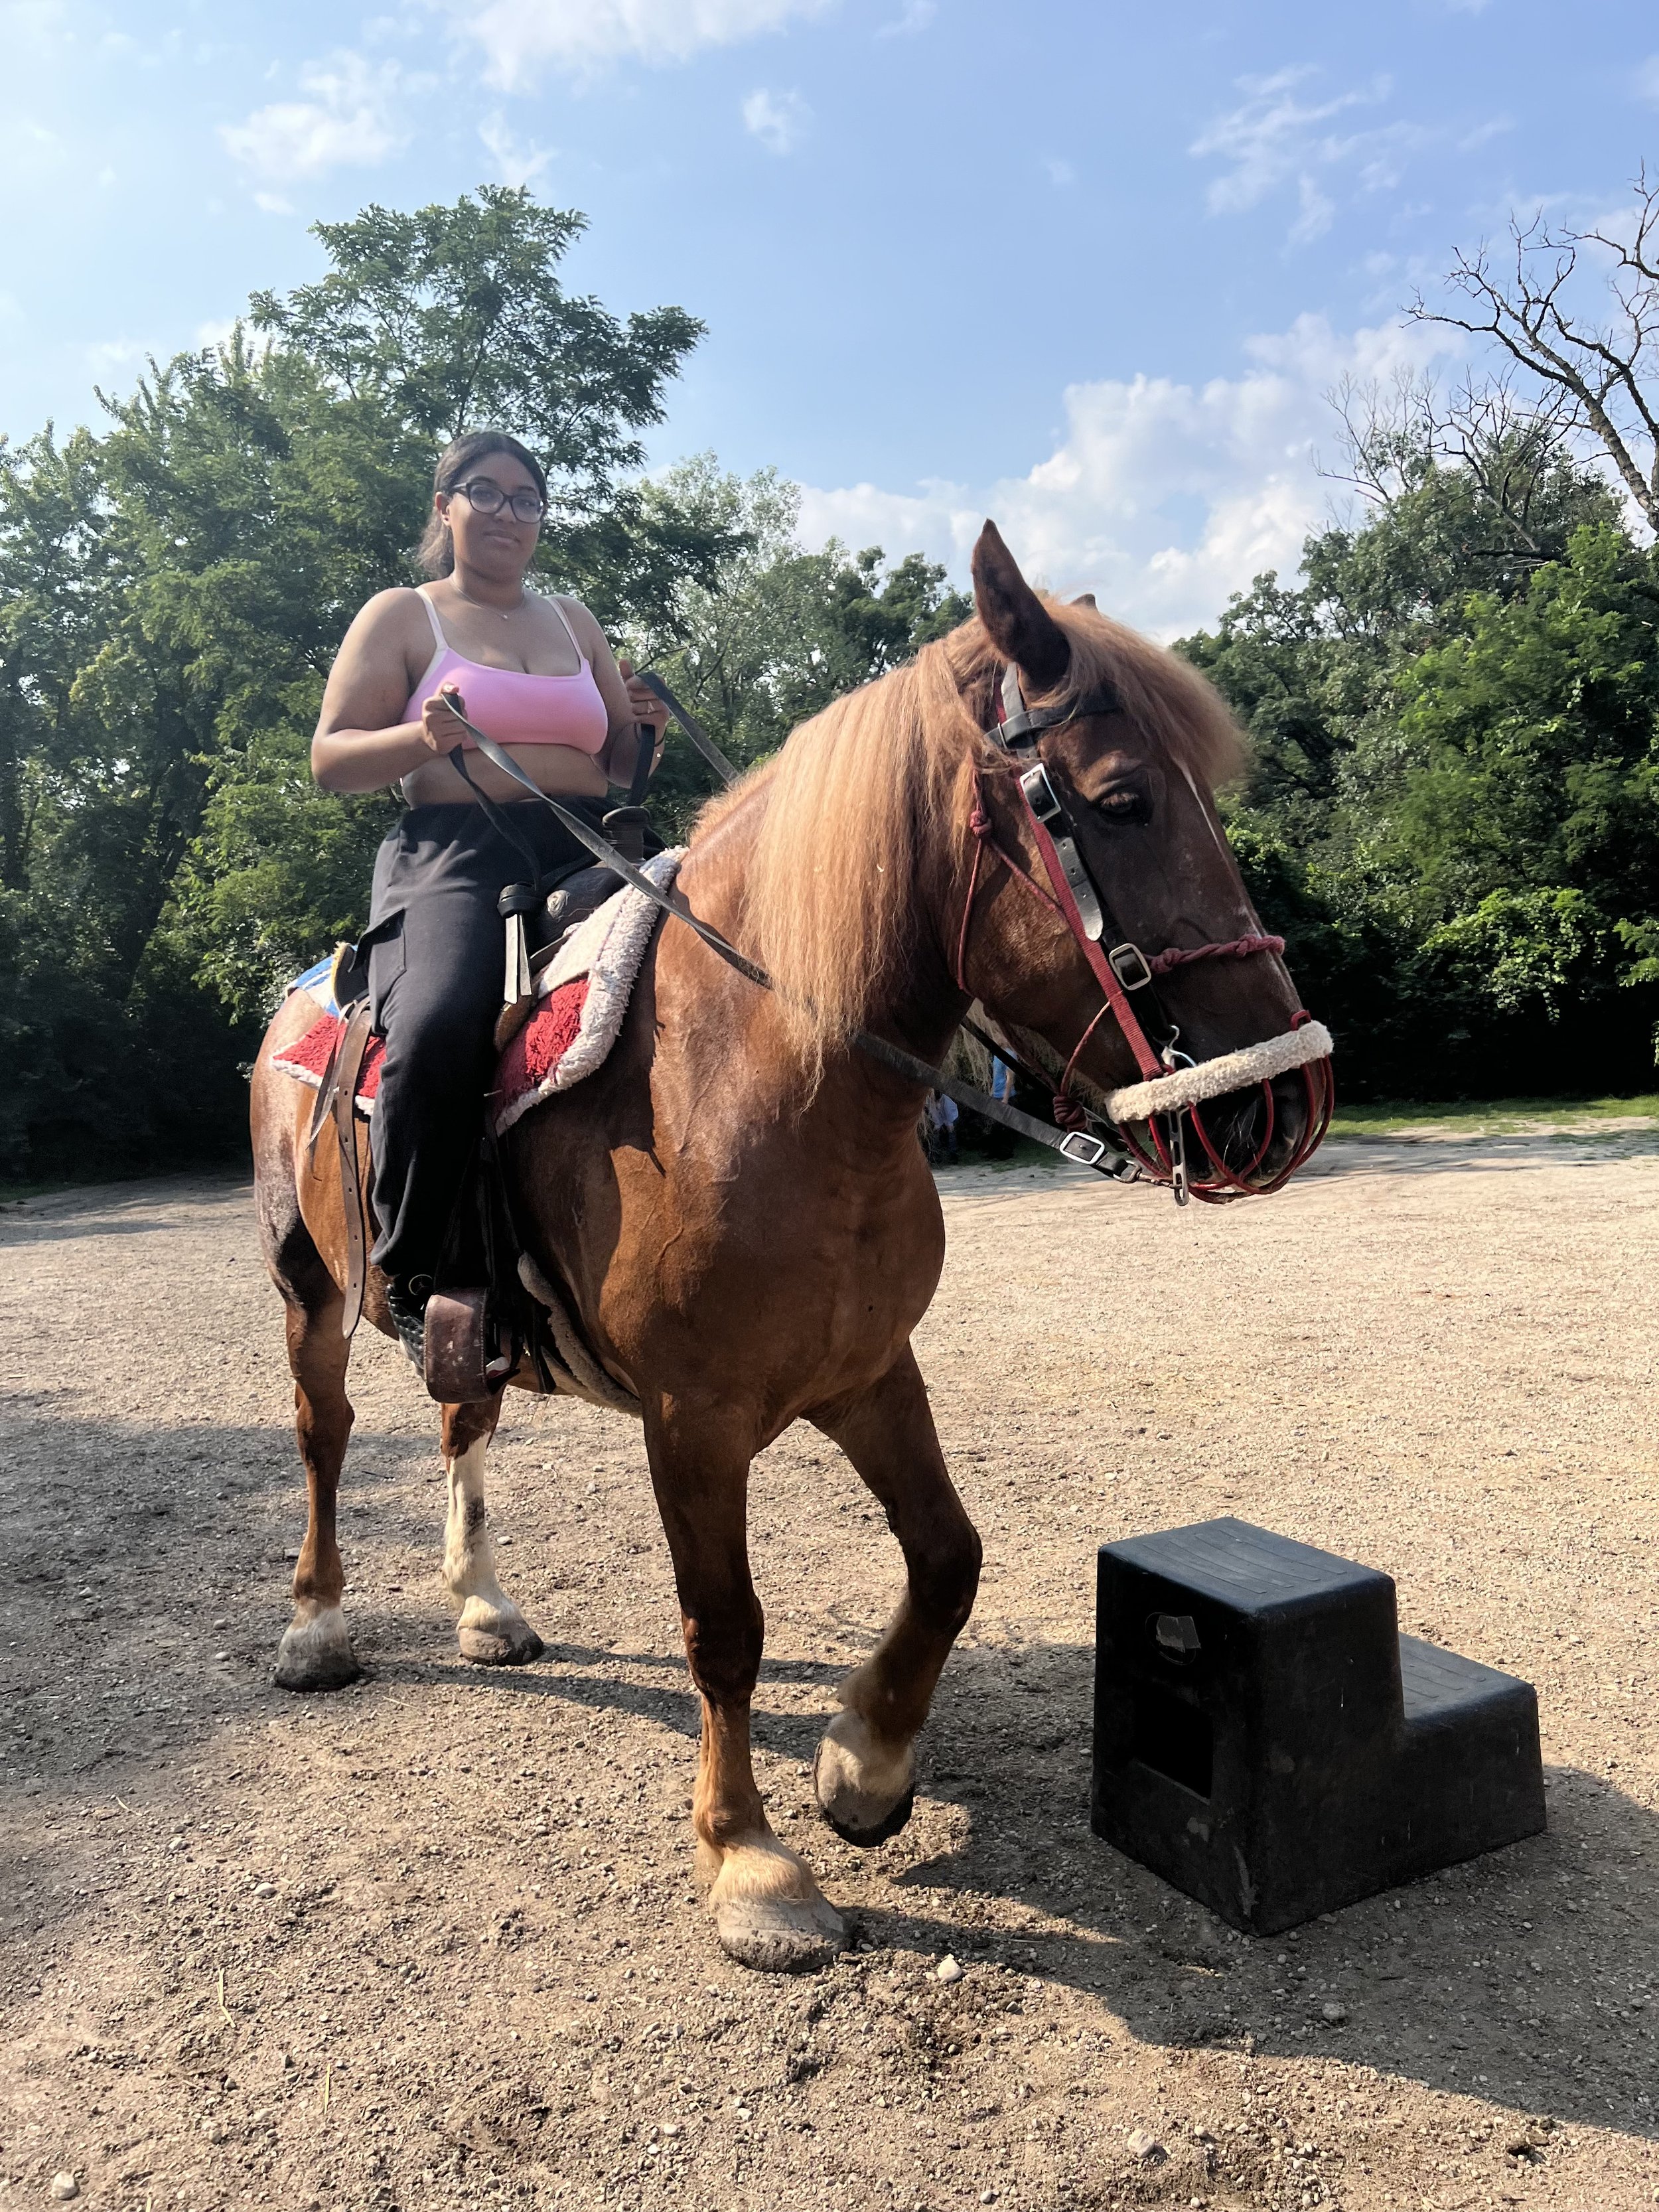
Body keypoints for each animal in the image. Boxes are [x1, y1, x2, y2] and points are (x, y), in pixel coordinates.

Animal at [249, 522, 1330, 1972]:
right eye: (1117, 802)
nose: (1285, 1092)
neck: (760, 1071)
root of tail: (304, 990)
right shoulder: (692, 1418)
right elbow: (726, 1627)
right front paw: (753, 1862)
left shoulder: (867, 1371)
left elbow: (949, 1556)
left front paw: (864, 1764)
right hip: (306, 1281)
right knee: (323, 1437)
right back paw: (316, 1622)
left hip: (465, 1325)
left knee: (460, 1421)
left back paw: (483, 1604)